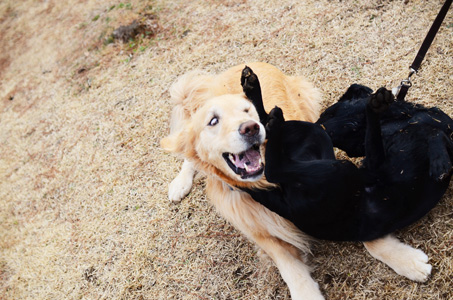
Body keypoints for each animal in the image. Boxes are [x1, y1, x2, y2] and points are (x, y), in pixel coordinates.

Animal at [238, 67, 450, 241]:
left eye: (330, 113)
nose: (320, 121)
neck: (401, 119)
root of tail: (289, 211)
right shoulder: (373, 162)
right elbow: (432, 130)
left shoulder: (372, 160)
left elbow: (435, 131)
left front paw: (440, 160)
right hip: (330, 154)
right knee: (272, 161)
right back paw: (255, 91)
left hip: (325, 151)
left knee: (273, 162)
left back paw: (269, 114)